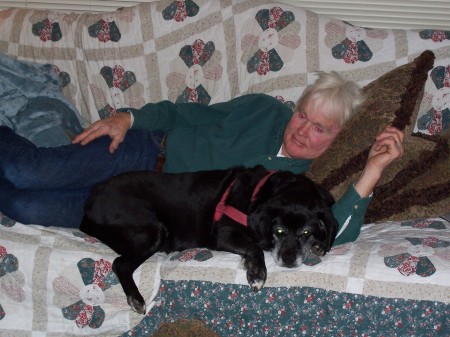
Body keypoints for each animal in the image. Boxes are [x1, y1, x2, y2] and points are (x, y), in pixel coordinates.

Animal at [80, 165, 338, 312]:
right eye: (279, 231)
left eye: (306, 233)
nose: (288, 259)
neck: (261, 192)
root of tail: (89, 205)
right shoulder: (224, 233)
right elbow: (254, 247)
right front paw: (257, 274)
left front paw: (318, 246)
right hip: (152, 230)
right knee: (119, 263)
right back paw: (136, 298)